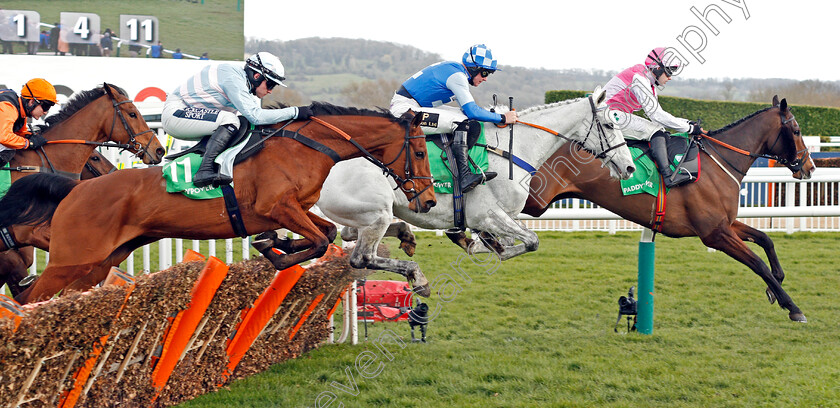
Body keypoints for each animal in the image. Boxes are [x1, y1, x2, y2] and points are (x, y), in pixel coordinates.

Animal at [520, 95, 816, 322]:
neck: (719, 162)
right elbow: (758, 263)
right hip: (533, 201)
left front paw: (775, 287)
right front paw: (793, 307)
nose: (810, 167)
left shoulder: (725, 224)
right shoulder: (715, 234)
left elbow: (766, 240)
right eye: (797, 131)